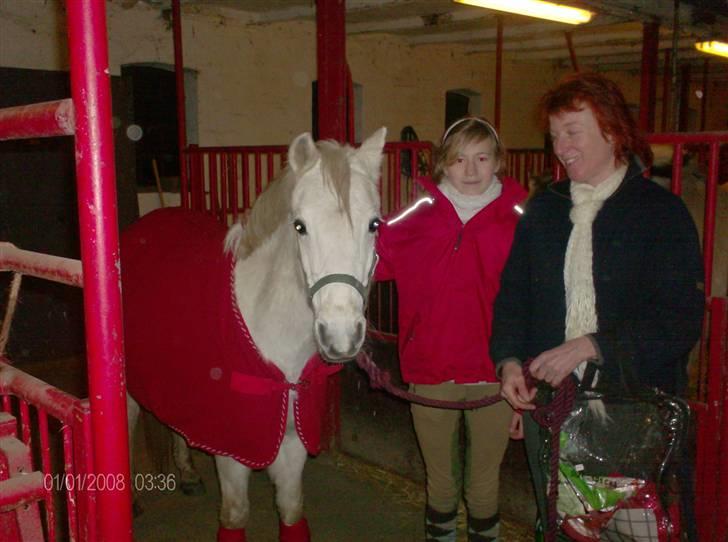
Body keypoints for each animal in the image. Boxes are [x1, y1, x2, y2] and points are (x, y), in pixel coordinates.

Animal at [123, 129, 386, 542]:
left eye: (374, 224)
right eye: (300, 225)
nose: (340, 336)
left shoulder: (293, 443)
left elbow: (292, 511)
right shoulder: (232, 452)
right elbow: (235, 516)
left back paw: (188, 473)